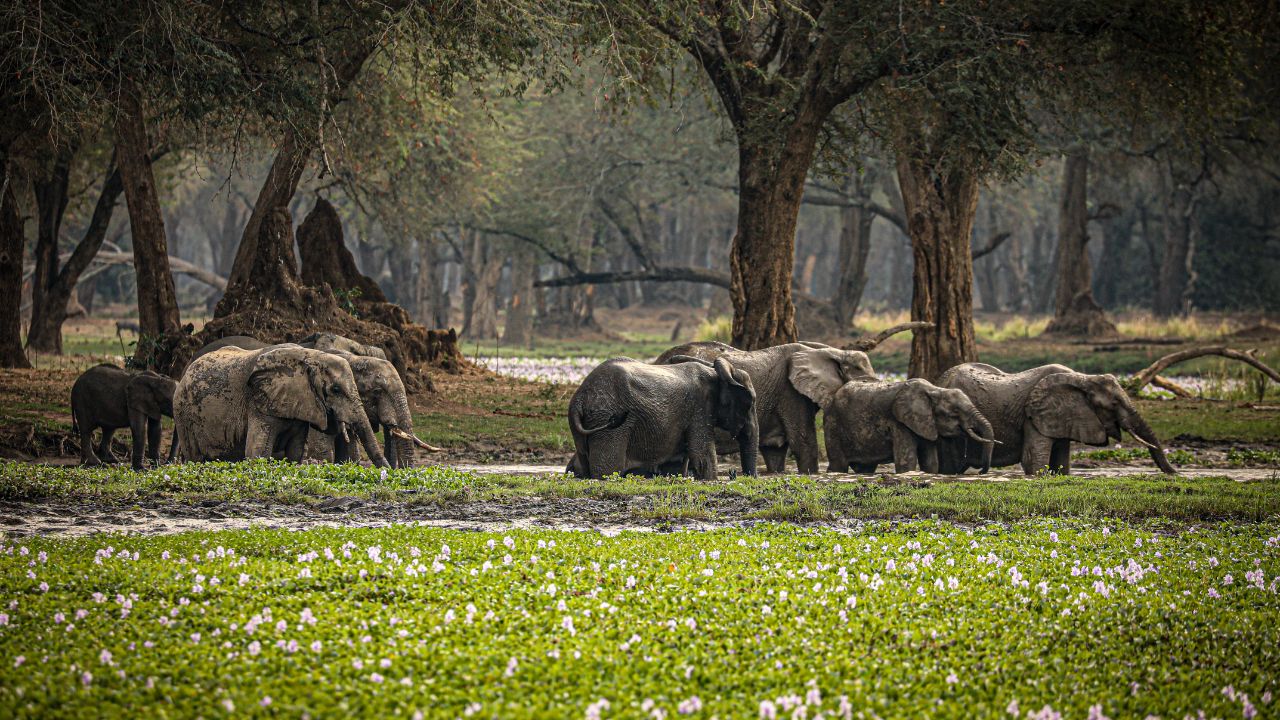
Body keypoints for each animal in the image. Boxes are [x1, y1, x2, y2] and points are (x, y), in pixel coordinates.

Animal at [174, 345, 389, 466]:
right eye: (335, 390)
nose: (389, 472)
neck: (312, 356)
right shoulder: (259, 402)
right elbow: (257, 453)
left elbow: (295, 452)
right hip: (184, 417)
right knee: (194, 457)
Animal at [566, 356, 758, 480]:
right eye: (749, 404)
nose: (736, 475)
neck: (717, 371)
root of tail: (579, 399)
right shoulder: (700, 409)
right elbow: (703, 457)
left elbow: (675, 464)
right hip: (607, 420)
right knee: (607, 468)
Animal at [823, 378, 996, 474]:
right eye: (955, 412)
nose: (980, 472)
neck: (935, 390)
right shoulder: (899, 422)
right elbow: (907, 462)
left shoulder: (926, 423)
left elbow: (931, 463)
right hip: (833, 425)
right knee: (839, 464)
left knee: (865, 468)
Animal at [936, 363, 1176, 475]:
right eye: (1114, 405)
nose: (1175, 474)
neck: (1081, 378)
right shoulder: (1034, 416)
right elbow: (1033, 460)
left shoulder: (1064, 419)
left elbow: (1061, 463)